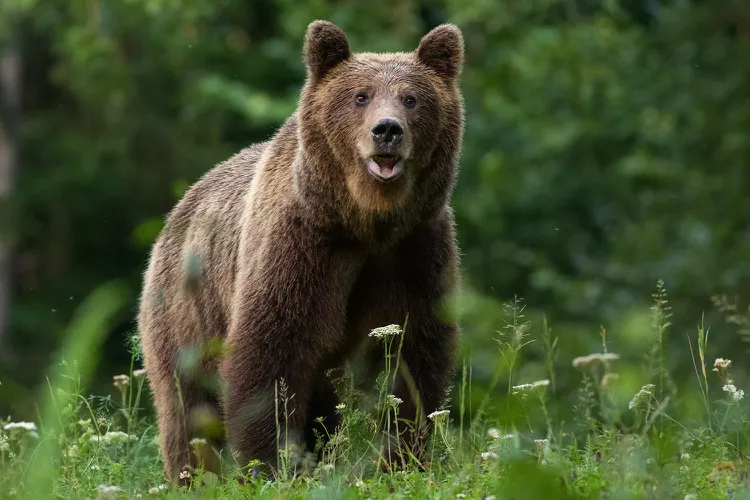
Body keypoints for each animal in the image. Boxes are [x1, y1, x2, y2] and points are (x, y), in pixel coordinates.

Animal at [136, 19, 464, 484]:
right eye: (360, 95)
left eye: (411, 98)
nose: (387, 130)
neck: (365, 221)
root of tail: (179, 209)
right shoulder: (302, 246)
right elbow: (271, 352)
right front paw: (270, 465)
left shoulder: (415, 249)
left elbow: (414, 355)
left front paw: (401, 460)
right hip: (185, 312)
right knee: (188, 407)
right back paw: (194, 476)